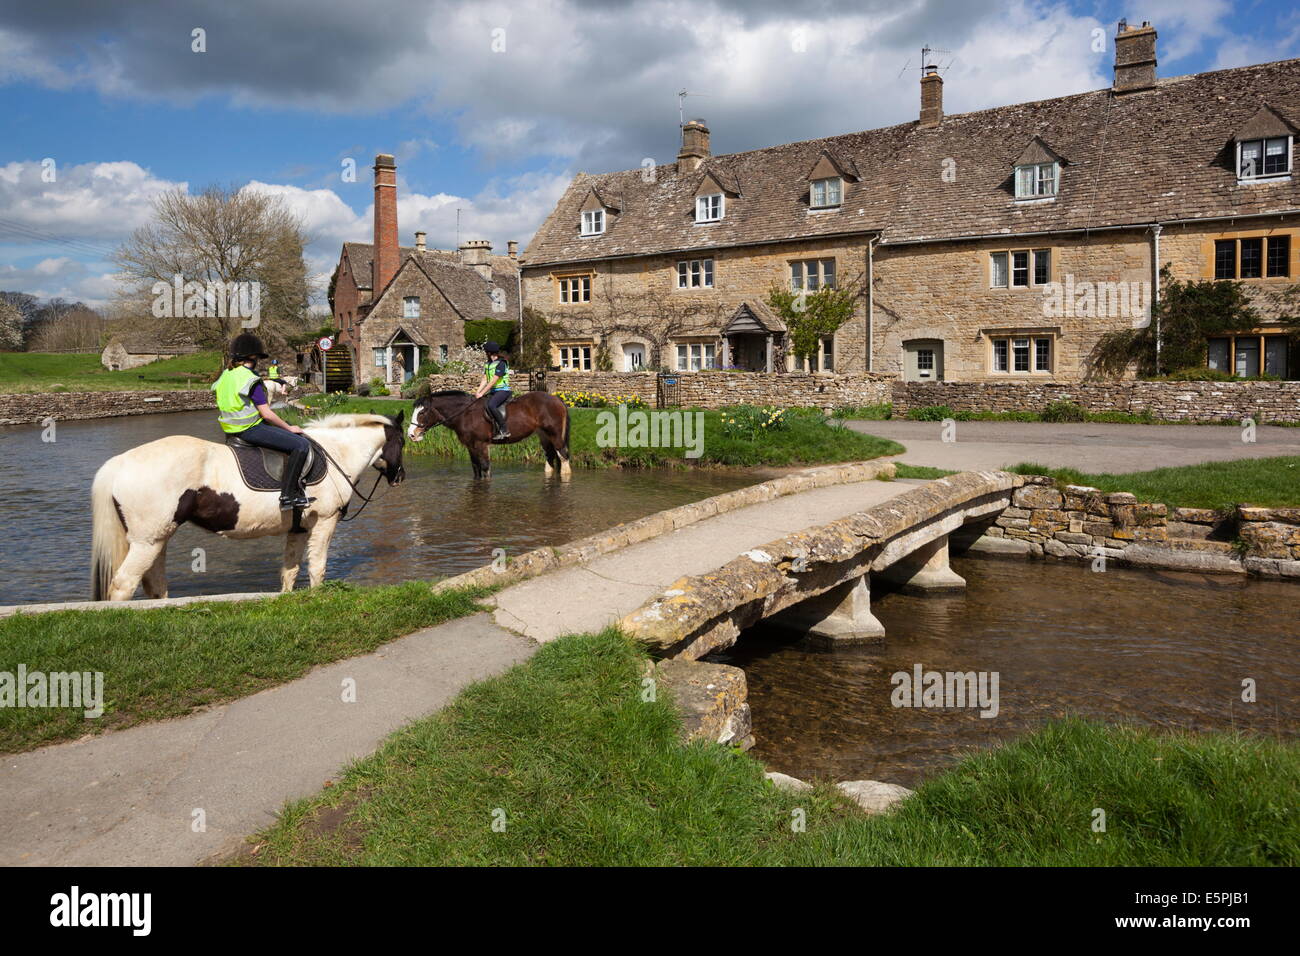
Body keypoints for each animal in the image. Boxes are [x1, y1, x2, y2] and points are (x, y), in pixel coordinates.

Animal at [90, 416, 405, 600]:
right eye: (402, 441)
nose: (399, 477)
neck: (335, 454)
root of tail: (119, 463)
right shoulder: (325, 522)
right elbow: (318, 568)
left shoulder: (299, 529)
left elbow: (290, 570)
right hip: (147, 542)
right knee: (123, 585)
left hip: (158, 539)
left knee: (155, 584)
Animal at [405, 390, 569, 478]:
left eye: (422, 412)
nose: (411, 434)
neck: (465, 413)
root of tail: (556, 398)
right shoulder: (470, 446)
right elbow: (476, 468)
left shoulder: (481, 445)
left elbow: (485, 468)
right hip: (543, 435)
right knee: (550, 456)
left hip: (554, 434)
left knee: (563, 456)